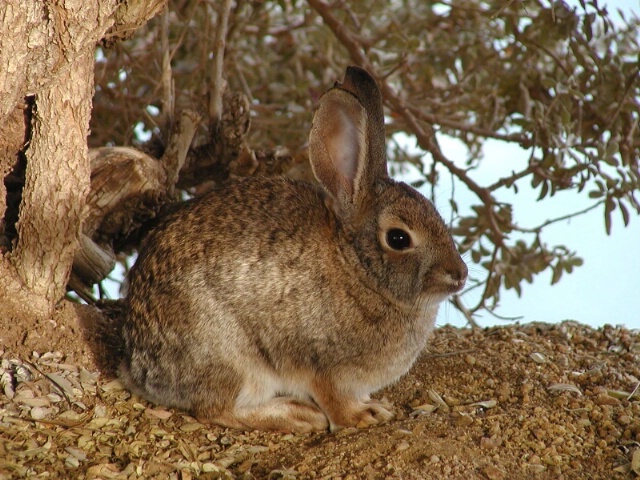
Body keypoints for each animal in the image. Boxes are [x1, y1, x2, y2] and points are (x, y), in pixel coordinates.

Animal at [120, 65, 468, 434]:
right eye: (399, 239)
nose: (459, 275)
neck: (358, 269)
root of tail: (137, 364)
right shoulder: (324, 366)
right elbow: (334, 400)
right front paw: (364, 416)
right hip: (233, 359)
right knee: (217, 410)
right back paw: (296, 414)